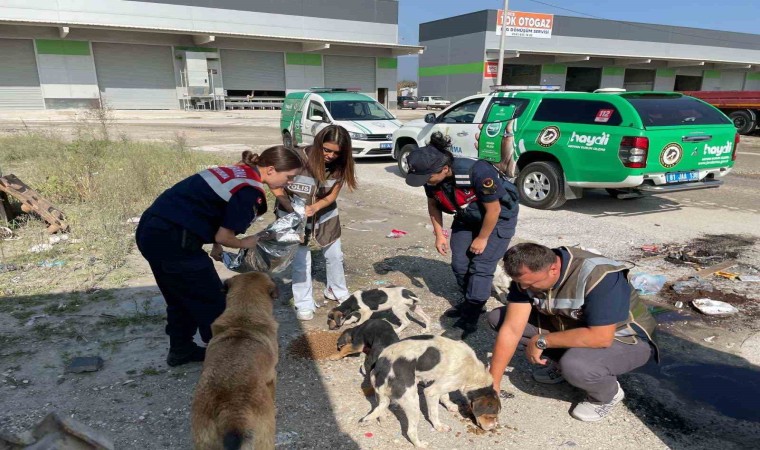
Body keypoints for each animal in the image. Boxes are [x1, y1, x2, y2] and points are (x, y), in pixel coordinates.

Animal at [360, 336, 502, 448]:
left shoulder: (442, 383)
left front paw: (450, 406)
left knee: (380, 410)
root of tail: (382, 365)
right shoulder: (432, 391)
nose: (493, 427)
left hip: (381, 395)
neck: (473, 372)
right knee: (410, 431)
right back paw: (419, 444)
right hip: (412, 401)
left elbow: (445, 396)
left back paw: (383, 420)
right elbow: (434, 413)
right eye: (491, 416)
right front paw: (439, 426)